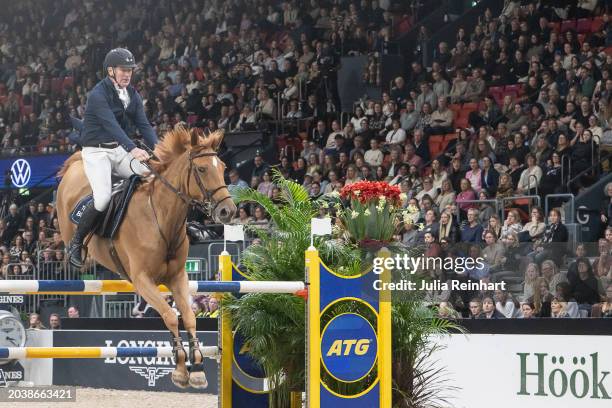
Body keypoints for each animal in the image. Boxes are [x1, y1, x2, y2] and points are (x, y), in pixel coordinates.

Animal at [55, 127, 237, 388]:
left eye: (222, 167)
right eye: (202, 169)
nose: (227, 211)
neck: (160, 216)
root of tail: (76, 163)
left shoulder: (177, 277)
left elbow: (188, 317)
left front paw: (197, 369)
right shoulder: (142, 280)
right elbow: (170, 315)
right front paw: (180, 369)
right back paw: (77, 254)